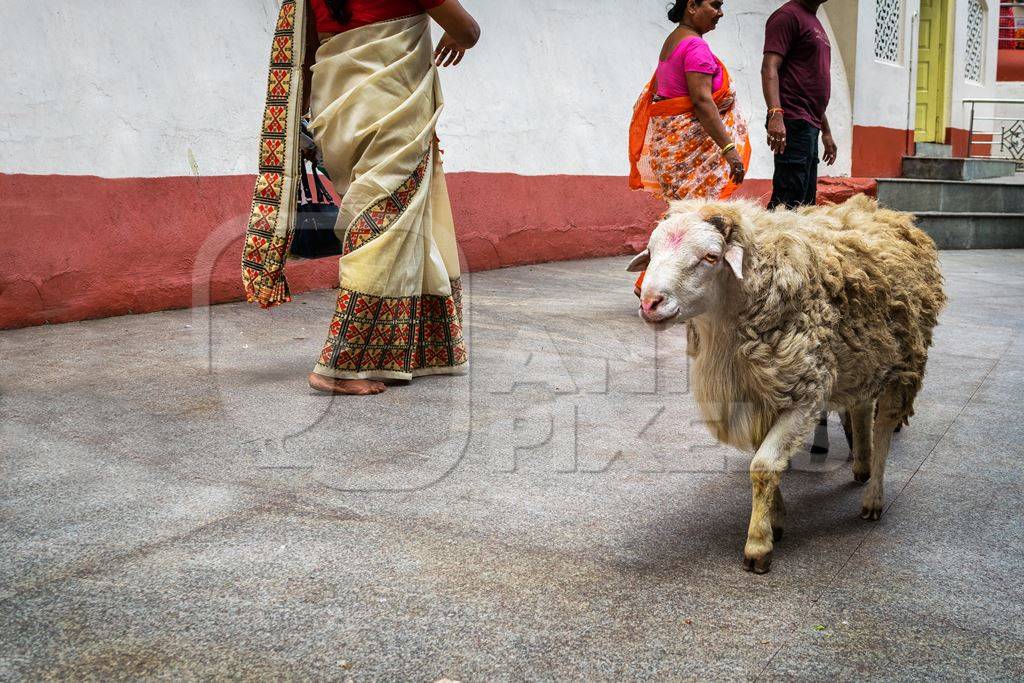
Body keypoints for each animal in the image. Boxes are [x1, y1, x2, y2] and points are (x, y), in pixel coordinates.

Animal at [626, 194, 946, 573]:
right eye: (651, 250)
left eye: (711, 257)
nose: (649, 302)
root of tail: (886, 212)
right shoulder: (756, 397)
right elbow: (766, 462)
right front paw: (776, 521)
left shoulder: (804, 396)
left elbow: (763, 467)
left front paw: (758, 544)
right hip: (863, 356)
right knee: (862, 405)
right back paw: (862, 464)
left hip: (905, 362)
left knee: (884, 427)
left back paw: (873, 499)